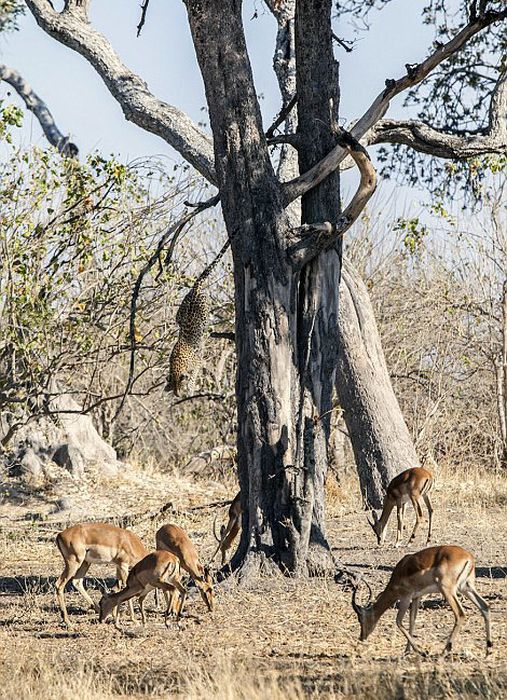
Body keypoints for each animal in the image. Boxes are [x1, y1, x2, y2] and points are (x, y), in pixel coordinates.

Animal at [354, 548, 492, 656]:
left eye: (360, 618)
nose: (361, 637)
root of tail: (468, 557)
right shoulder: (416, 597)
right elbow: (412, 621)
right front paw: (407, 651)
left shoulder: (405, 598)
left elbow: (399, 621)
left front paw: (421, 651)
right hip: (466, 587)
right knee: (484, 606)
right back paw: (488, 650)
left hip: (448, 590)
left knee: (460, 614)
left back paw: (444, 651)